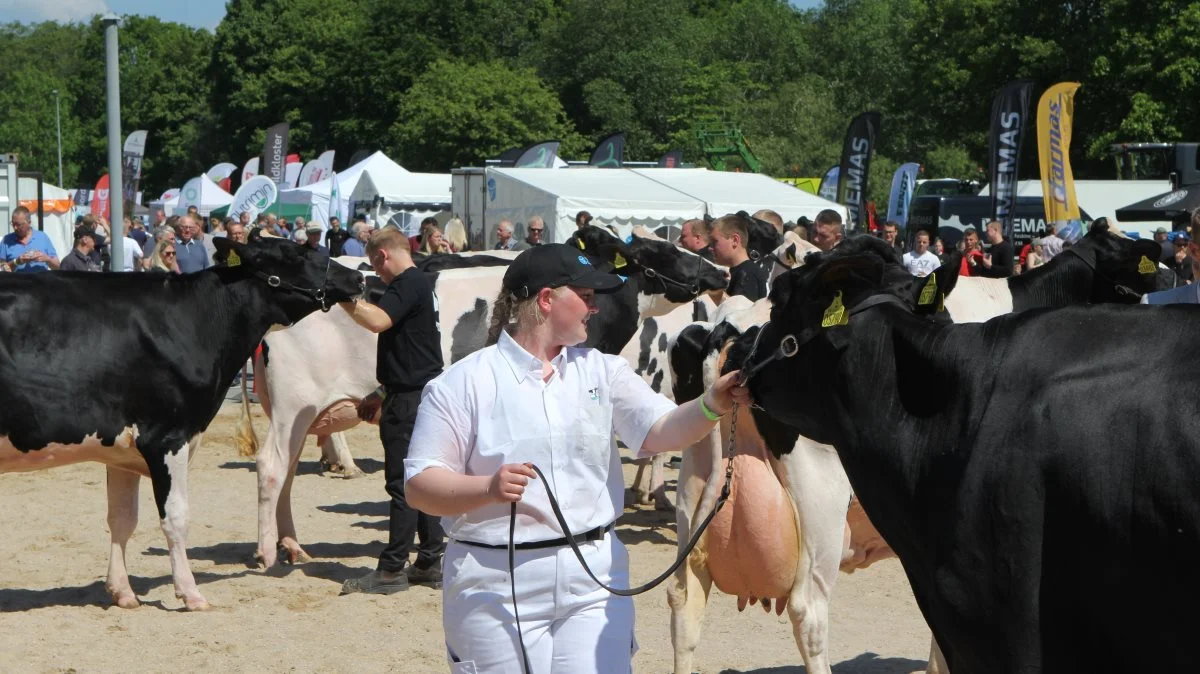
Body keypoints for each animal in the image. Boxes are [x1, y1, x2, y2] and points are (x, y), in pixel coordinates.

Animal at [1, 237, 364, 609]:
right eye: (296, 253)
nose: (359, 277)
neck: (192, 320)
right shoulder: (166, 438)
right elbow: (176, 517)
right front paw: (190, 593)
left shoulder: (120, 448)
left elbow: (121, 518)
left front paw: (122, 592)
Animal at [237, 230, 715, 566]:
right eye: (664, 251)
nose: (720, 273)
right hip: (293, 406)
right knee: (271, 467)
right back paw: (267, 553)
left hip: (300, 413)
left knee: (286, 472)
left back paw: (292, 545)